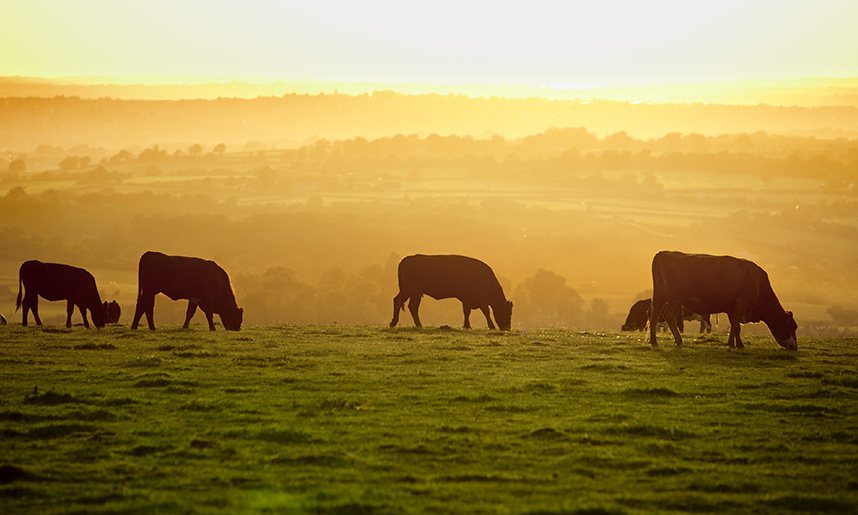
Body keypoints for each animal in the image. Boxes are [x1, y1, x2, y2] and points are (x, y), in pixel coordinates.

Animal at [648, 251, 796, 350]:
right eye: (793, 326)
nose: (795, 347)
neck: (758, 282)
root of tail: (665, 253)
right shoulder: (742, 302)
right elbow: (737, 326)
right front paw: (740, 345)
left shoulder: (732, 307)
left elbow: (734, 325)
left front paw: (731, 344)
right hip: (676, 297)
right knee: (668, 315)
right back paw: (679, 340)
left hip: (659, 295)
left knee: (653, 314)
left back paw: (654, 341)